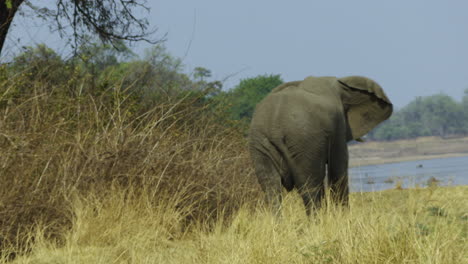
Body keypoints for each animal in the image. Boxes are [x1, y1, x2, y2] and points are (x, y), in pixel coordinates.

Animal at [249, 75, 392, 216]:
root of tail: (275, 127)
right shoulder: (338, 126)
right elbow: (338, 169)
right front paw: (343, 218)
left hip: (260, 142)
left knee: (271, 187)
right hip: (304, 141)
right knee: (309, 187)